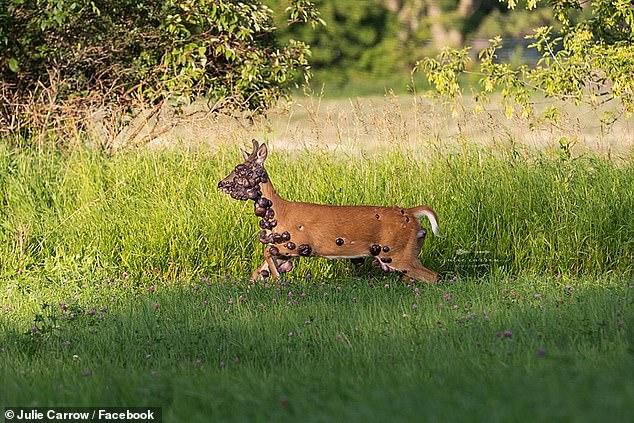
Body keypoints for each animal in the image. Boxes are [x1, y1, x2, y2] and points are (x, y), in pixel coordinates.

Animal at [217, 140, 440, 284]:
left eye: (240, 170)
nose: (221, 184)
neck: (279, 212)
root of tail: (411, 213)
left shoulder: (297, 242)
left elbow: (265, 253)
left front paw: (278, 280)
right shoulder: (283, 249)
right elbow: (257, 271)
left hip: (397, 252)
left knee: (433, 277)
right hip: (406, 252)